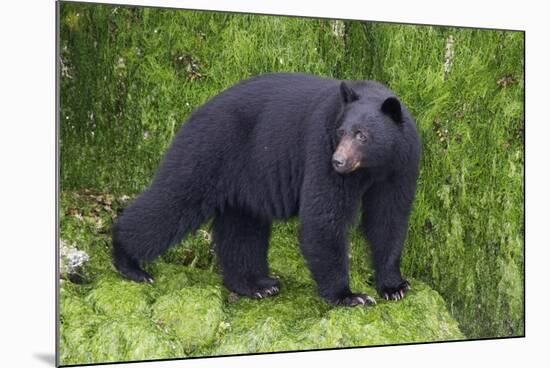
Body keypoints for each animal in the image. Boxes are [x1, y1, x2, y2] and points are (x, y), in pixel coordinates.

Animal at [113, 71, 422, 304]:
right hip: (207, 151)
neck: (373, 167)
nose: (338, 161)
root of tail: (197, 110)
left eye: (362, 135)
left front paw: (394, 286)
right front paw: (349, 295)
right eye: (341, 132)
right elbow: (324, 216)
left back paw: (256, 284)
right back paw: (129, 261)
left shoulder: (401, 166)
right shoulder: (320, 148)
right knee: (172, 202)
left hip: (242, 179)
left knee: (242, 230)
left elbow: (389, 218)